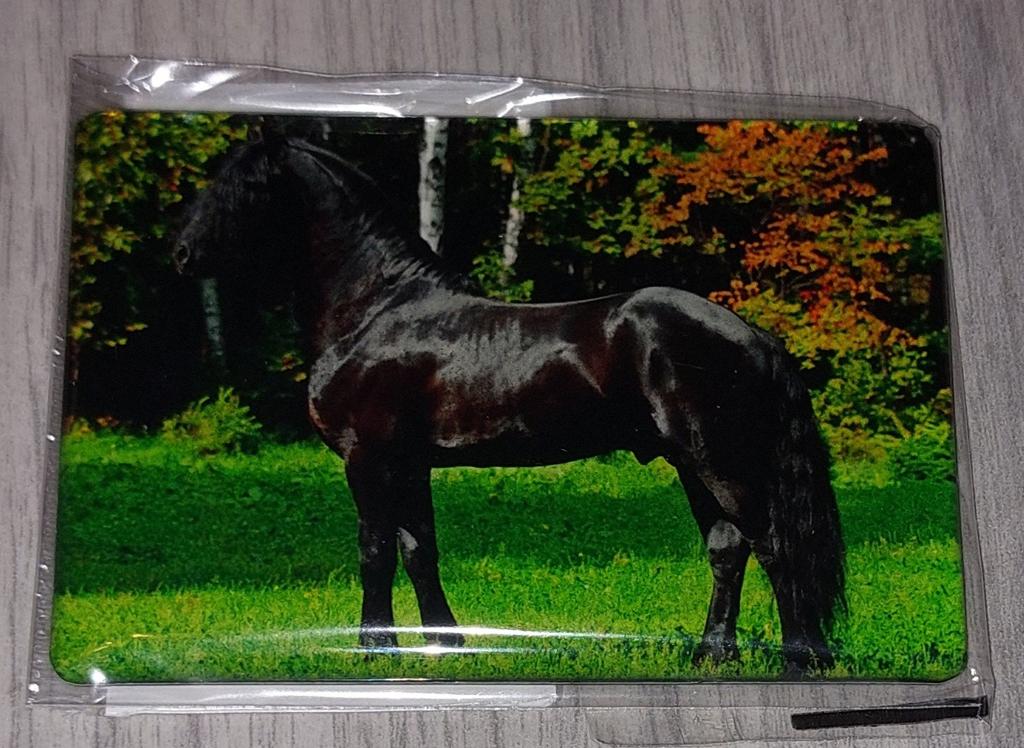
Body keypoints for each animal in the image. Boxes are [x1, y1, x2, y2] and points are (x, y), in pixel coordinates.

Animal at [173, 132, 846, 673]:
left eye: (243, 187)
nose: (181, 255)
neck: (374, 309)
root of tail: (754, 335)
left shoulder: (369, 459)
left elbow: (374, 552)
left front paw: (374, 649)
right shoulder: (409, 463)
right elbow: (419, 551)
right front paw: (445, 645)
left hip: (720, 460)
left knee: (771, 544)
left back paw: (802, 658)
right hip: (693, 463)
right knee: (729, 548)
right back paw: (712, 655)